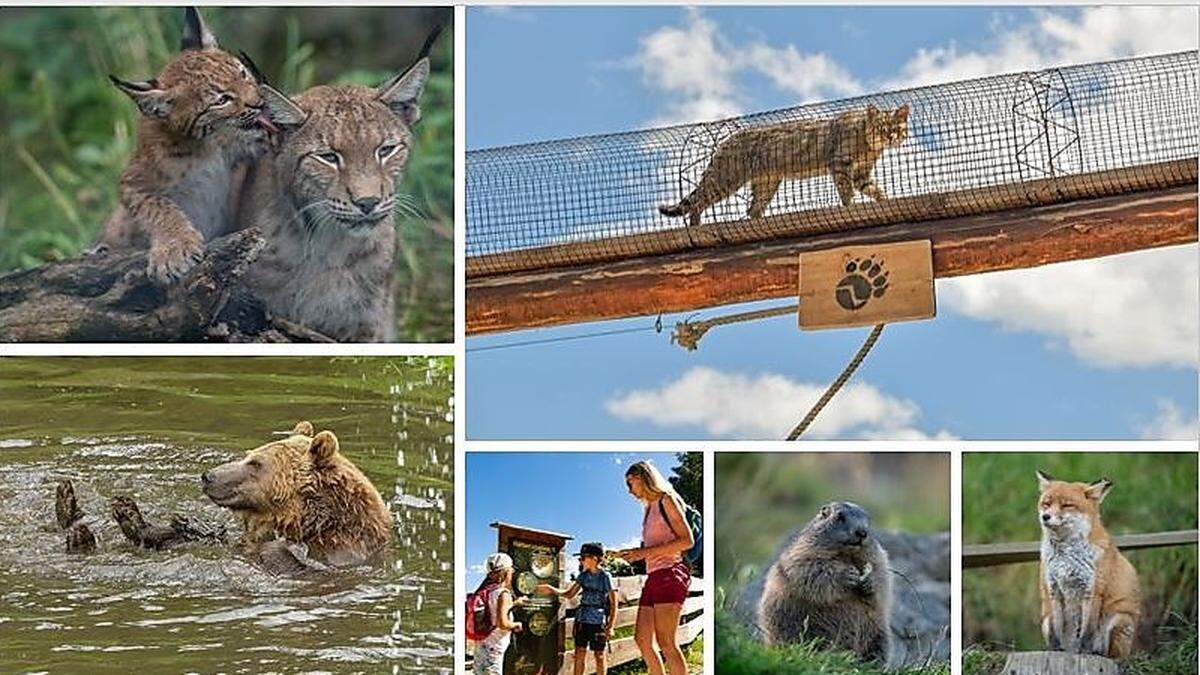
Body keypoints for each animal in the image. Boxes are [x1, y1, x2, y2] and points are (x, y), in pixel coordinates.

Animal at [1036, 468, 1137, 658]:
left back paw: (1098, 654)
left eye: (1067, 505)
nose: (1045, 517)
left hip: (1118, 620)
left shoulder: (1093, 590)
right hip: (1044, 622)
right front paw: (1055, 651)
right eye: (1046, 503)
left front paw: (1084, 652)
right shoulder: (1053, 589)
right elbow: (1055, 630)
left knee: (1112, 655)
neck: (1066, 556)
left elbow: (1087, 632)